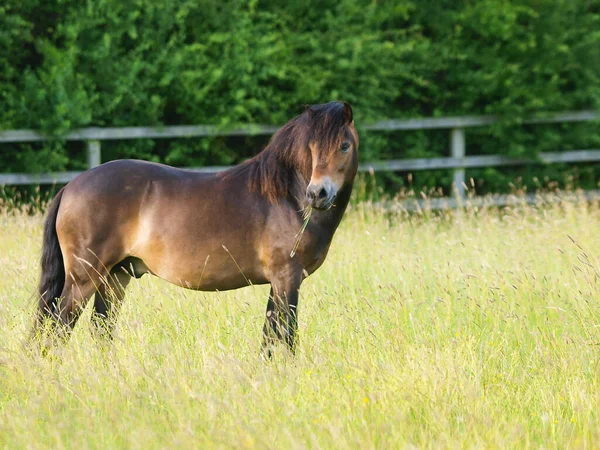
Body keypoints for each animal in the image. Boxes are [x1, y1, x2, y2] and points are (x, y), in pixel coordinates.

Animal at [32, 102, 358, 356]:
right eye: (311, 148)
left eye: (345, 145)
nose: (318, 194)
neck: (287, 197)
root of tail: (71, 186)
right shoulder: (287, 278)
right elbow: (287, 337)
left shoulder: (278, 282)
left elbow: (269, 337)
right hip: (84, 277)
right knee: (59, 327)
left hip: (115, 278)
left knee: (100, 330)